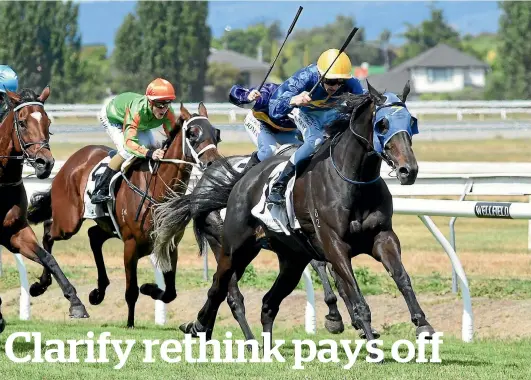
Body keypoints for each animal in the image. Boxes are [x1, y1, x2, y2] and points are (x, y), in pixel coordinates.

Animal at [0, 87, 89, 332]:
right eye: (21, 123)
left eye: (48, 122)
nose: (45, 163)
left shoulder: (14, 232)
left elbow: (48, 258)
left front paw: (75, 302)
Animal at [26, 103, 222, 326]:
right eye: (192, 134)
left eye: (216, 133)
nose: (213, 163)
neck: (156, 189)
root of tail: (72, 160)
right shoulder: (130, 245)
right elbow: (131, 291)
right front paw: (130, 324)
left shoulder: (169, 243)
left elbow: (170, 292)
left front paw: (150, 288)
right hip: (69, 222)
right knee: (49, 232)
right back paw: (40, 285)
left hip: (105, 224)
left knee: (93, 236)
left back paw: (98, 292)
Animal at [157, 82, 436, 344]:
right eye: (382, 124)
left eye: (412, 122)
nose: (408, 170)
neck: (353, 180)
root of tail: (233, 182)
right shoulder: (333, 244)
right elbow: (353, 293)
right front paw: (359, 330)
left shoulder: (382, 236)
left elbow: (401, 277)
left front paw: (422, 324)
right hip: (232, 248)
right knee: (221, 288)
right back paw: (202, 326)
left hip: (289, 257)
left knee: (266, 300)